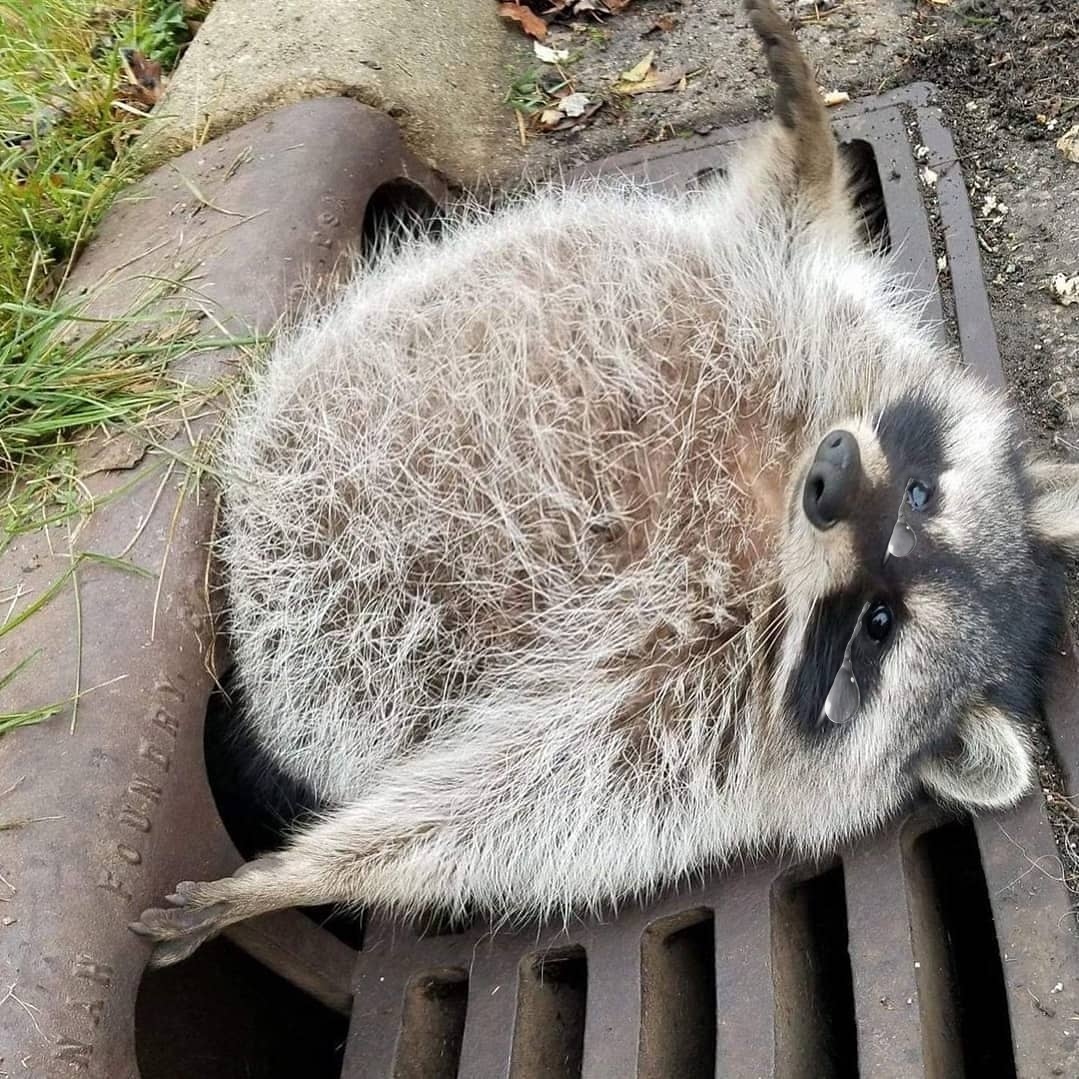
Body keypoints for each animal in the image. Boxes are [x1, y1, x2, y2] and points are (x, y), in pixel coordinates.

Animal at [130, 0, 1079, 966]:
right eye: (922, 493)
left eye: (878, 624)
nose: (834, 479)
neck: (766, 526)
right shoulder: (800, 325)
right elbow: (785, 224)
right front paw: (807, 129)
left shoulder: (681, 727)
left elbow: (498, 803)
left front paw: (302, 872)